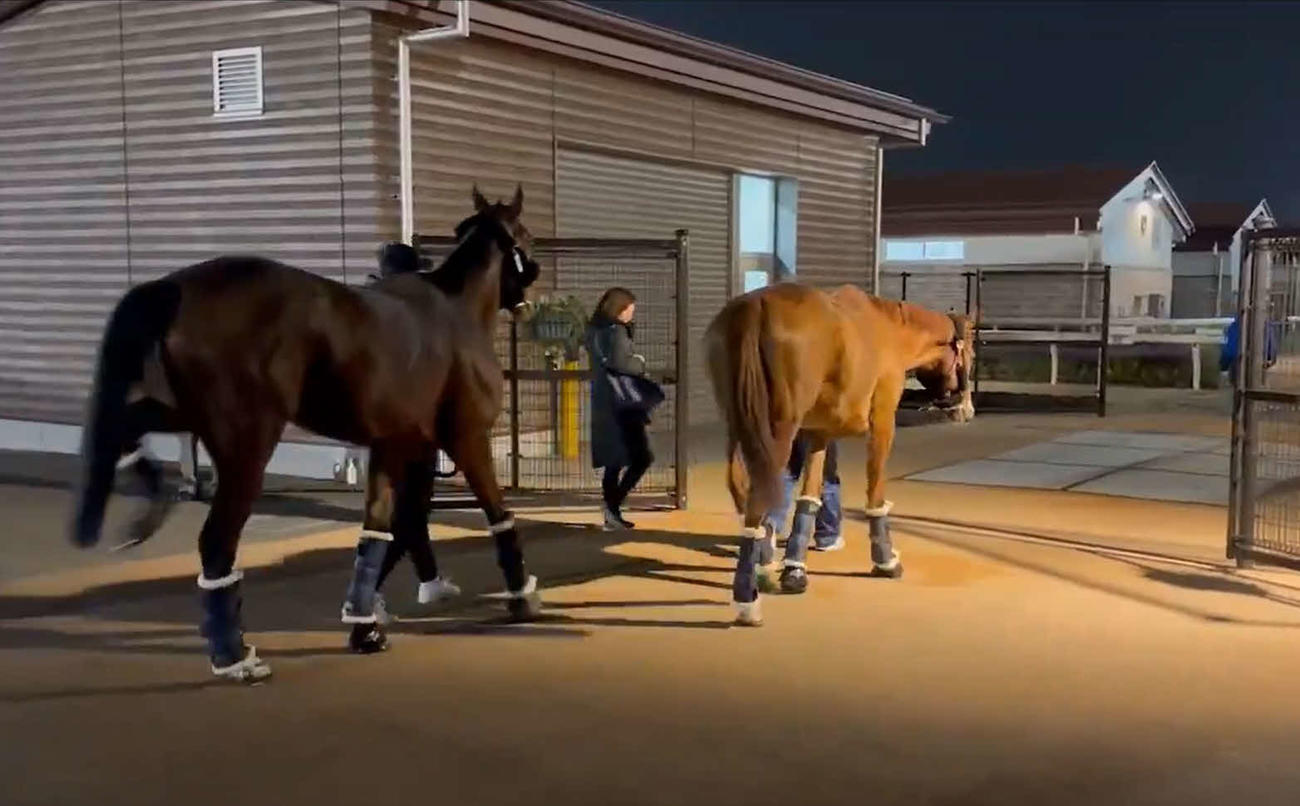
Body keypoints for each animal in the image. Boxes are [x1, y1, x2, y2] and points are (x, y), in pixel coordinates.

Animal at [69, 185, 541, 681]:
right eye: (526, 236)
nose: (531, 286)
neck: (455, 311)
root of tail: (174, 287)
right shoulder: (467, 438)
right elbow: (495, 514)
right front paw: (521, 596)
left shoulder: (394, 446)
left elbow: (381, 531)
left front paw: (365, 625)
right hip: (247, 446)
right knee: (216, 542)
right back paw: (234, 656)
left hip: (188, 413)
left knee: (127, 423)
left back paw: (148, 495)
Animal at [705, 282, 975, 626]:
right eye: (970, 351)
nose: (966, 407)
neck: (891, 327)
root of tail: (756, 305)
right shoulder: (883, 419)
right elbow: (875, 491)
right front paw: (886, 560)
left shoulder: (819, 432)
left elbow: (809, 498)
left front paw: (794, 569)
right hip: (778, 429)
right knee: (757, 497)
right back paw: (748, 600)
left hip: (739, 424)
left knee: (740, 486)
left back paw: (762, 568)